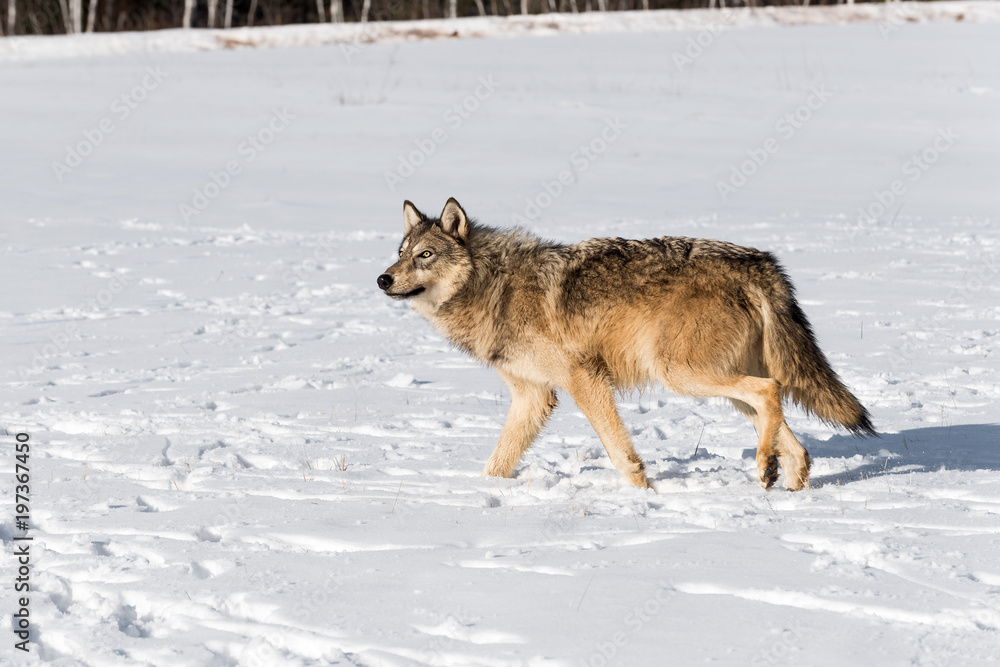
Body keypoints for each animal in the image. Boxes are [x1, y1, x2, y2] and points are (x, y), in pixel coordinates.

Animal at [378, 198, 875, 491]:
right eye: (401, 253)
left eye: (425, 255)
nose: (382, 279)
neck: (493, 286)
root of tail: (759, 262)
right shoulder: (533, 396)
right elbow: (497, 462)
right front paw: (483, 494)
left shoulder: (584, 379)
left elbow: (619, 450)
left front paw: (642, 495)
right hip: (718, 383)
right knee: (793, 437)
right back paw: (783, 481)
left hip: (681, 374)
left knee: (771, 391)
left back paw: (764, 467)